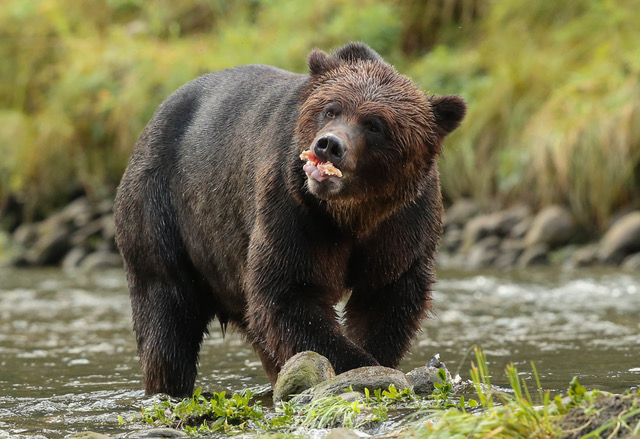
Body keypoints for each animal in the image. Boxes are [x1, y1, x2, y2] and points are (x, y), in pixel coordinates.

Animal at [114, 43, 464, 398]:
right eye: (331, 109)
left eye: (375, 124)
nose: (329, 145)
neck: (350, 215)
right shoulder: (293, 210)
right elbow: (288, 293)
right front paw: (357, 364)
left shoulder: (402, 225)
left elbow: (388, 297)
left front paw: (378, 360)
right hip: (162, 208)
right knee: (167, 316)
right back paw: (169, 386)